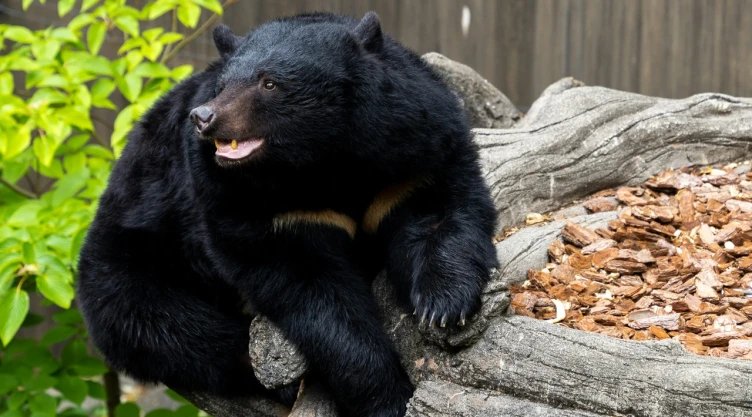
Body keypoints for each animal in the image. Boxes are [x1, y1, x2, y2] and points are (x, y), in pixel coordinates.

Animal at [76, 11, 499, 417]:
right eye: (223, 85)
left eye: (269, 83)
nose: (204, 117)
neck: (322, 161)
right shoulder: (252, 203)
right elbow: (311, 292)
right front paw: (387, 397)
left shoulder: (412, 152)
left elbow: (438, 209)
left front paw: (444, 305)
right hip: (130, 254)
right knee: (163, 325)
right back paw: (279, 383)